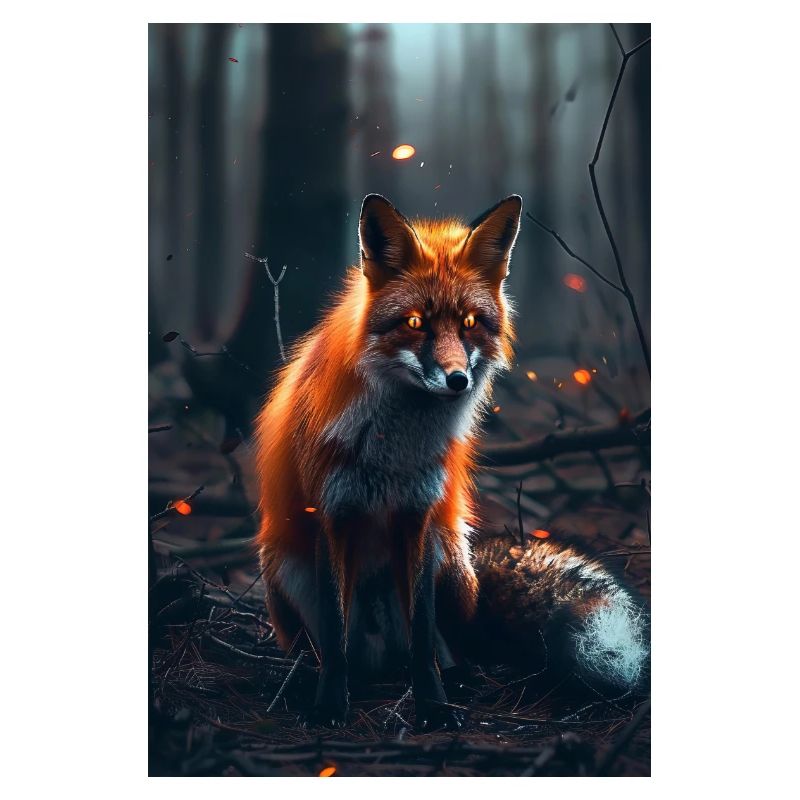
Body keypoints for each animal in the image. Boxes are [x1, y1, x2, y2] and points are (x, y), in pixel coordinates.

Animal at [255, 194, 648, 730]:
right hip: (288, 570)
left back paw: (459, 678)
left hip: (450, 560)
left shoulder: (417, 515)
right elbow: (335, 640)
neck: (394, 450)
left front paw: (434, 706)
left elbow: (423, 637)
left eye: (469, 324)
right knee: (337, 651)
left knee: (446, 646)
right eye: (415, 323)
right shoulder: (332, 515)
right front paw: (330, 704)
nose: (458, 379)